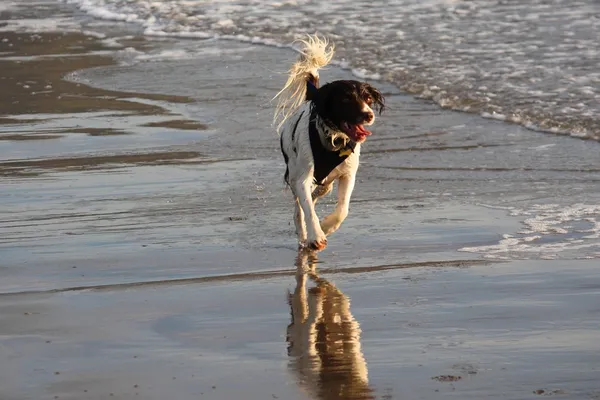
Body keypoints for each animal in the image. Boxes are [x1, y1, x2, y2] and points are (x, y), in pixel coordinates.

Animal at [274, 36, 384, 252]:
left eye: (367, 98)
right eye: (346, 99)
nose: (369, 115)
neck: (333, 141)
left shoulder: (348, 174)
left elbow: (343, 209)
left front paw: (326, 226)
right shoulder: (302, 178)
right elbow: (307, 208)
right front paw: (316, 235)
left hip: (326, 182)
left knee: (319, 192)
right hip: (293, 172)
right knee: (299, 209)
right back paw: (304, 236)